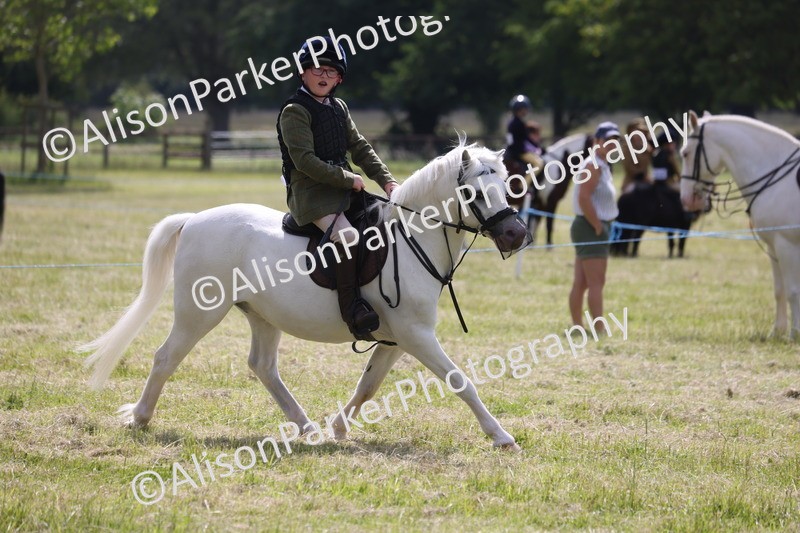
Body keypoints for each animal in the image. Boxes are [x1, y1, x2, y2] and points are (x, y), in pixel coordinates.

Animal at [79, 140, 531, 449]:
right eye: (474, 193)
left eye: (508, 187)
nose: (516, 235)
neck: (411, 239)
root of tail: (193, 220)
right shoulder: (417, 336)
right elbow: (460, 381)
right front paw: (501, 436)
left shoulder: (398, 340)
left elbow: (368, 386)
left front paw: (338, 427)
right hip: (198, 313)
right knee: (166, 358)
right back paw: (139, 418)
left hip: (262, 316)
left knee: (263, 366)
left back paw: (307, 427)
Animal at [680, 110, 800, 338]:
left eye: (685, 153)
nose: (686, 199)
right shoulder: (774, 247)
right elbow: (779, 290)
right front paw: (777, 332)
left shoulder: (787, 246)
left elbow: (793, 290)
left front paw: (795, 334)